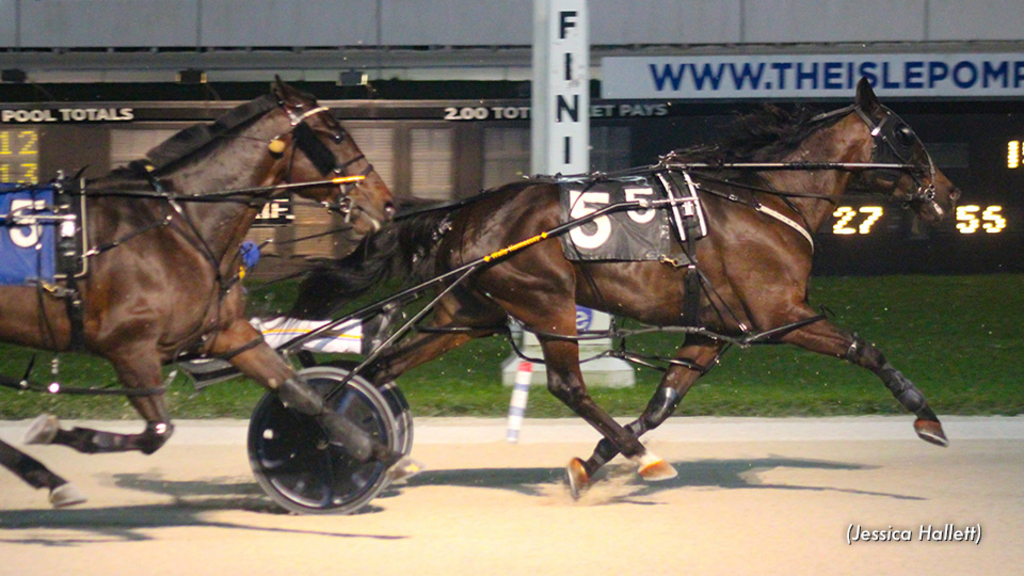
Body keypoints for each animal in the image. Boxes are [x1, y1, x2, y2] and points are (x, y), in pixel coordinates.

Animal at [2, 78, 405, 504]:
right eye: (337, 135)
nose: (386, 202)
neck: (175, 223)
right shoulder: (129, 347)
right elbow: (157, 433)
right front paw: (52, 431)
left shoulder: (227, 333)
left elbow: (301, 393)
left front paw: (376, 451)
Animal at [294, 78, 958, 496]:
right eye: (904, 132)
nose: (948, 193)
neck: (766, 197)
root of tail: (463, 213)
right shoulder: (780, 313)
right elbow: (865, 350)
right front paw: (927, 417)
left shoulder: (712, 330)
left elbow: (662, 403)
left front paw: (591, 465)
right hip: (547, 300)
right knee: (566, 383)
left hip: (466, 312)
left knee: (381, 369)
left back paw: (365, 445)